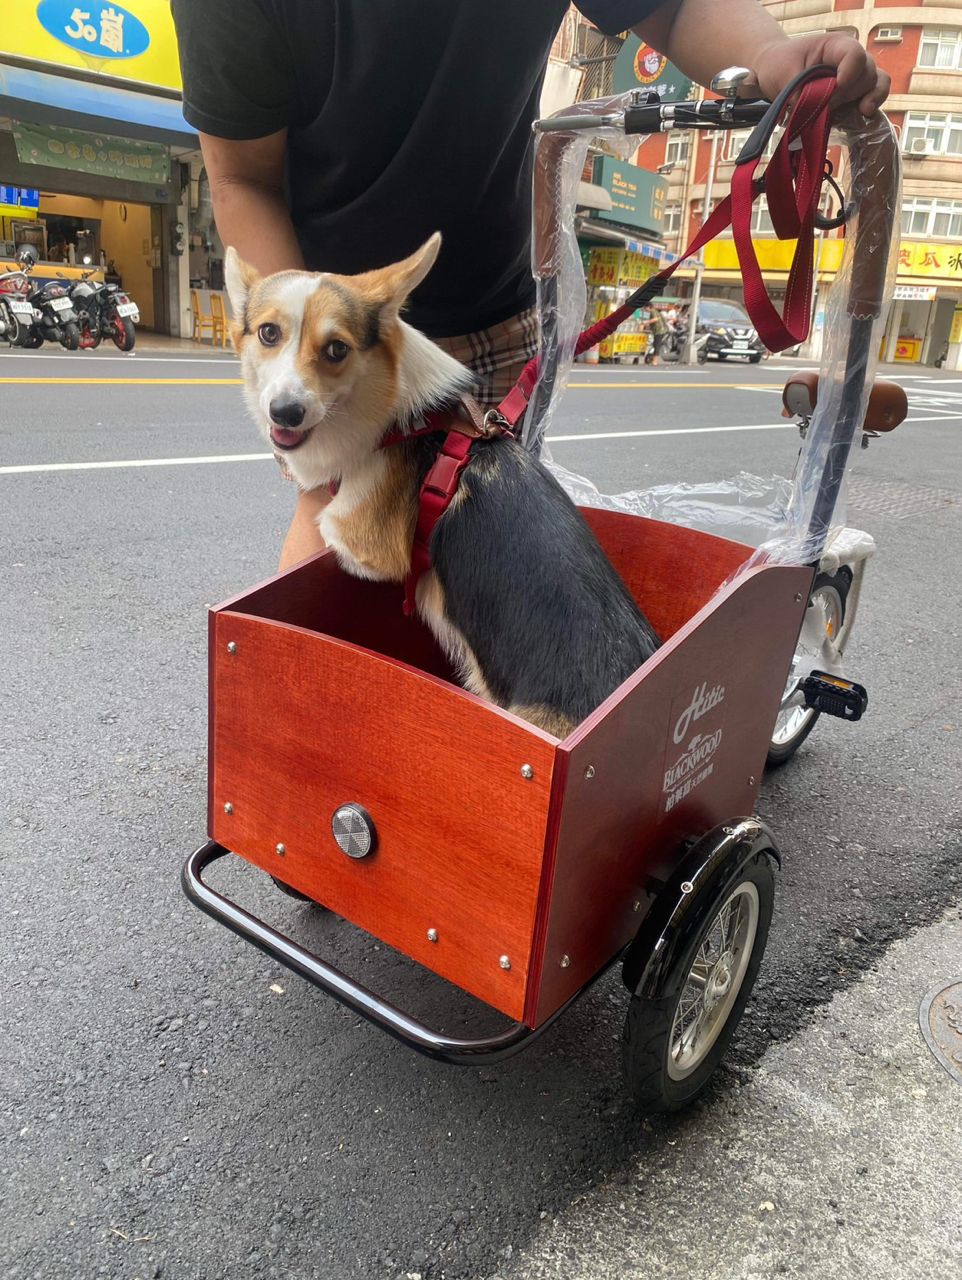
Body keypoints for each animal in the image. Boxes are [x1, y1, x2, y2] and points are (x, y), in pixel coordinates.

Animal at [225, 234, 659, 737]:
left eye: (336, 349)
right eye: (268, 334)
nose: (285, 413)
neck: (391, 408)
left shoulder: (363, 541)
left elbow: (334, 531)